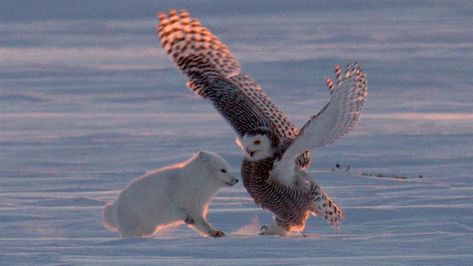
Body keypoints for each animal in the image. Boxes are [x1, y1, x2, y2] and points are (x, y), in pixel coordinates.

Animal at [102, 151, 238, 238]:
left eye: (227, 168)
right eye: (223, 170)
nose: (236, 180)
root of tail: (115, 204)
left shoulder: (197, 209)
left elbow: (203, 224)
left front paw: (215, 233)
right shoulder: (168, 204)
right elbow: (178, 211)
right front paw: (187, 218)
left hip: (150, 228)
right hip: (131, 226)